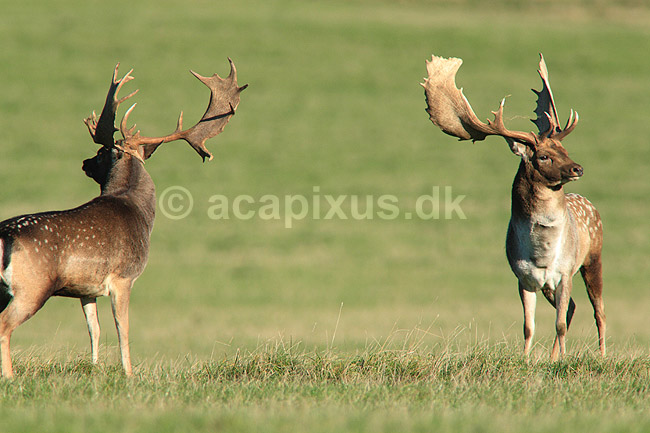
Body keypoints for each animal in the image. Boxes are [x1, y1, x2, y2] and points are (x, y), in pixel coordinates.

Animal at [0, 59, 247, 378]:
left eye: (100, 151)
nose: (84, 163)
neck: (136, 208)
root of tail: (5, 235)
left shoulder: (86, 288)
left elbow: (94, 329)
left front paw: (94, 369)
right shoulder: (124, 276)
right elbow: (123, 328)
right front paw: (129, 373)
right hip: (31, 286)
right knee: (4, 324)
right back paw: (9, 376)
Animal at [421, 54, 605, 360]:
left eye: (564, 151)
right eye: (544, 156)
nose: (577, 168)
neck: (542, 253)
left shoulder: (565, 272)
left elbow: (558, 324)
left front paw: (562, 359)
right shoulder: (523, 278)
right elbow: (529, 326)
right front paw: (528, 359)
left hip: (593, 257)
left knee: (598, 310)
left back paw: (600, 355)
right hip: (551, 283)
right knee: (573, 308)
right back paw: (553, 356)